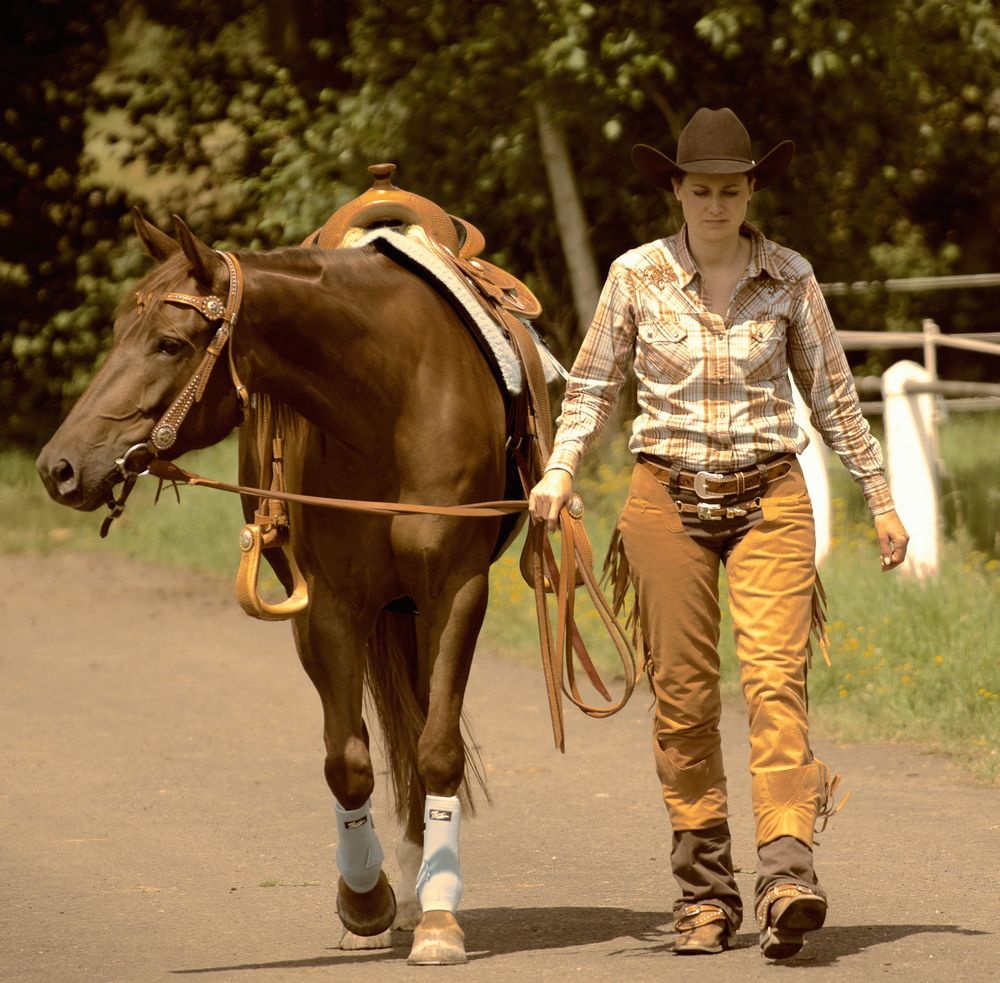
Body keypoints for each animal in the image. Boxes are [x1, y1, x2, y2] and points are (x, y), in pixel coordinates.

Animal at [38, 211, 524, 964]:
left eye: (169, 342)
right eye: (119, 331)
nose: (58, 467)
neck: (394, 397)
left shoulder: (457, 591)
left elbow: (437, 746)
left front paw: (440, 917)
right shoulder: (326, 609)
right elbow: (347, 761)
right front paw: (366, 899)